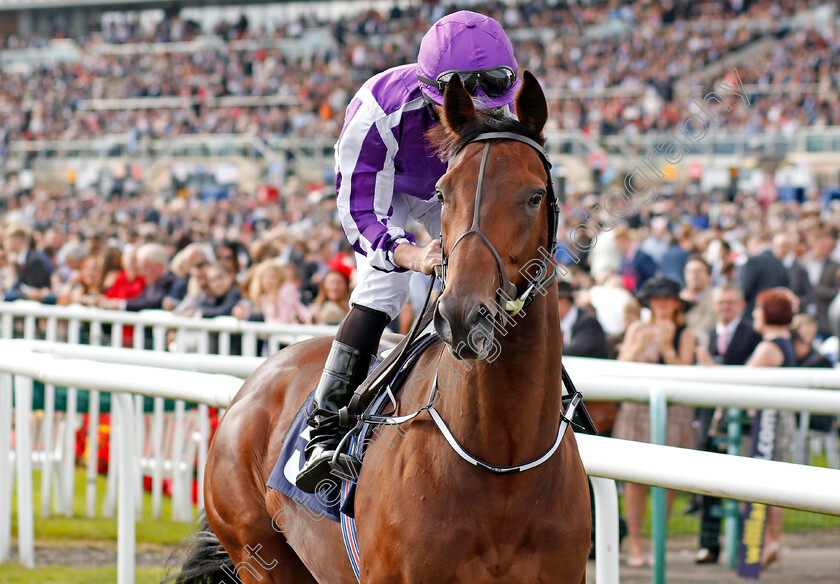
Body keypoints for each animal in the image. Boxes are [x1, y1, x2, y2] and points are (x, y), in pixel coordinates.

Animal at [171, 72, 592, 584]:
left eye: (534, 195)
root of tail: (256, 380)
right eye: (444, 193)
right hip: (258, 551)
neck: (503, 461)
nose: (462, 314)